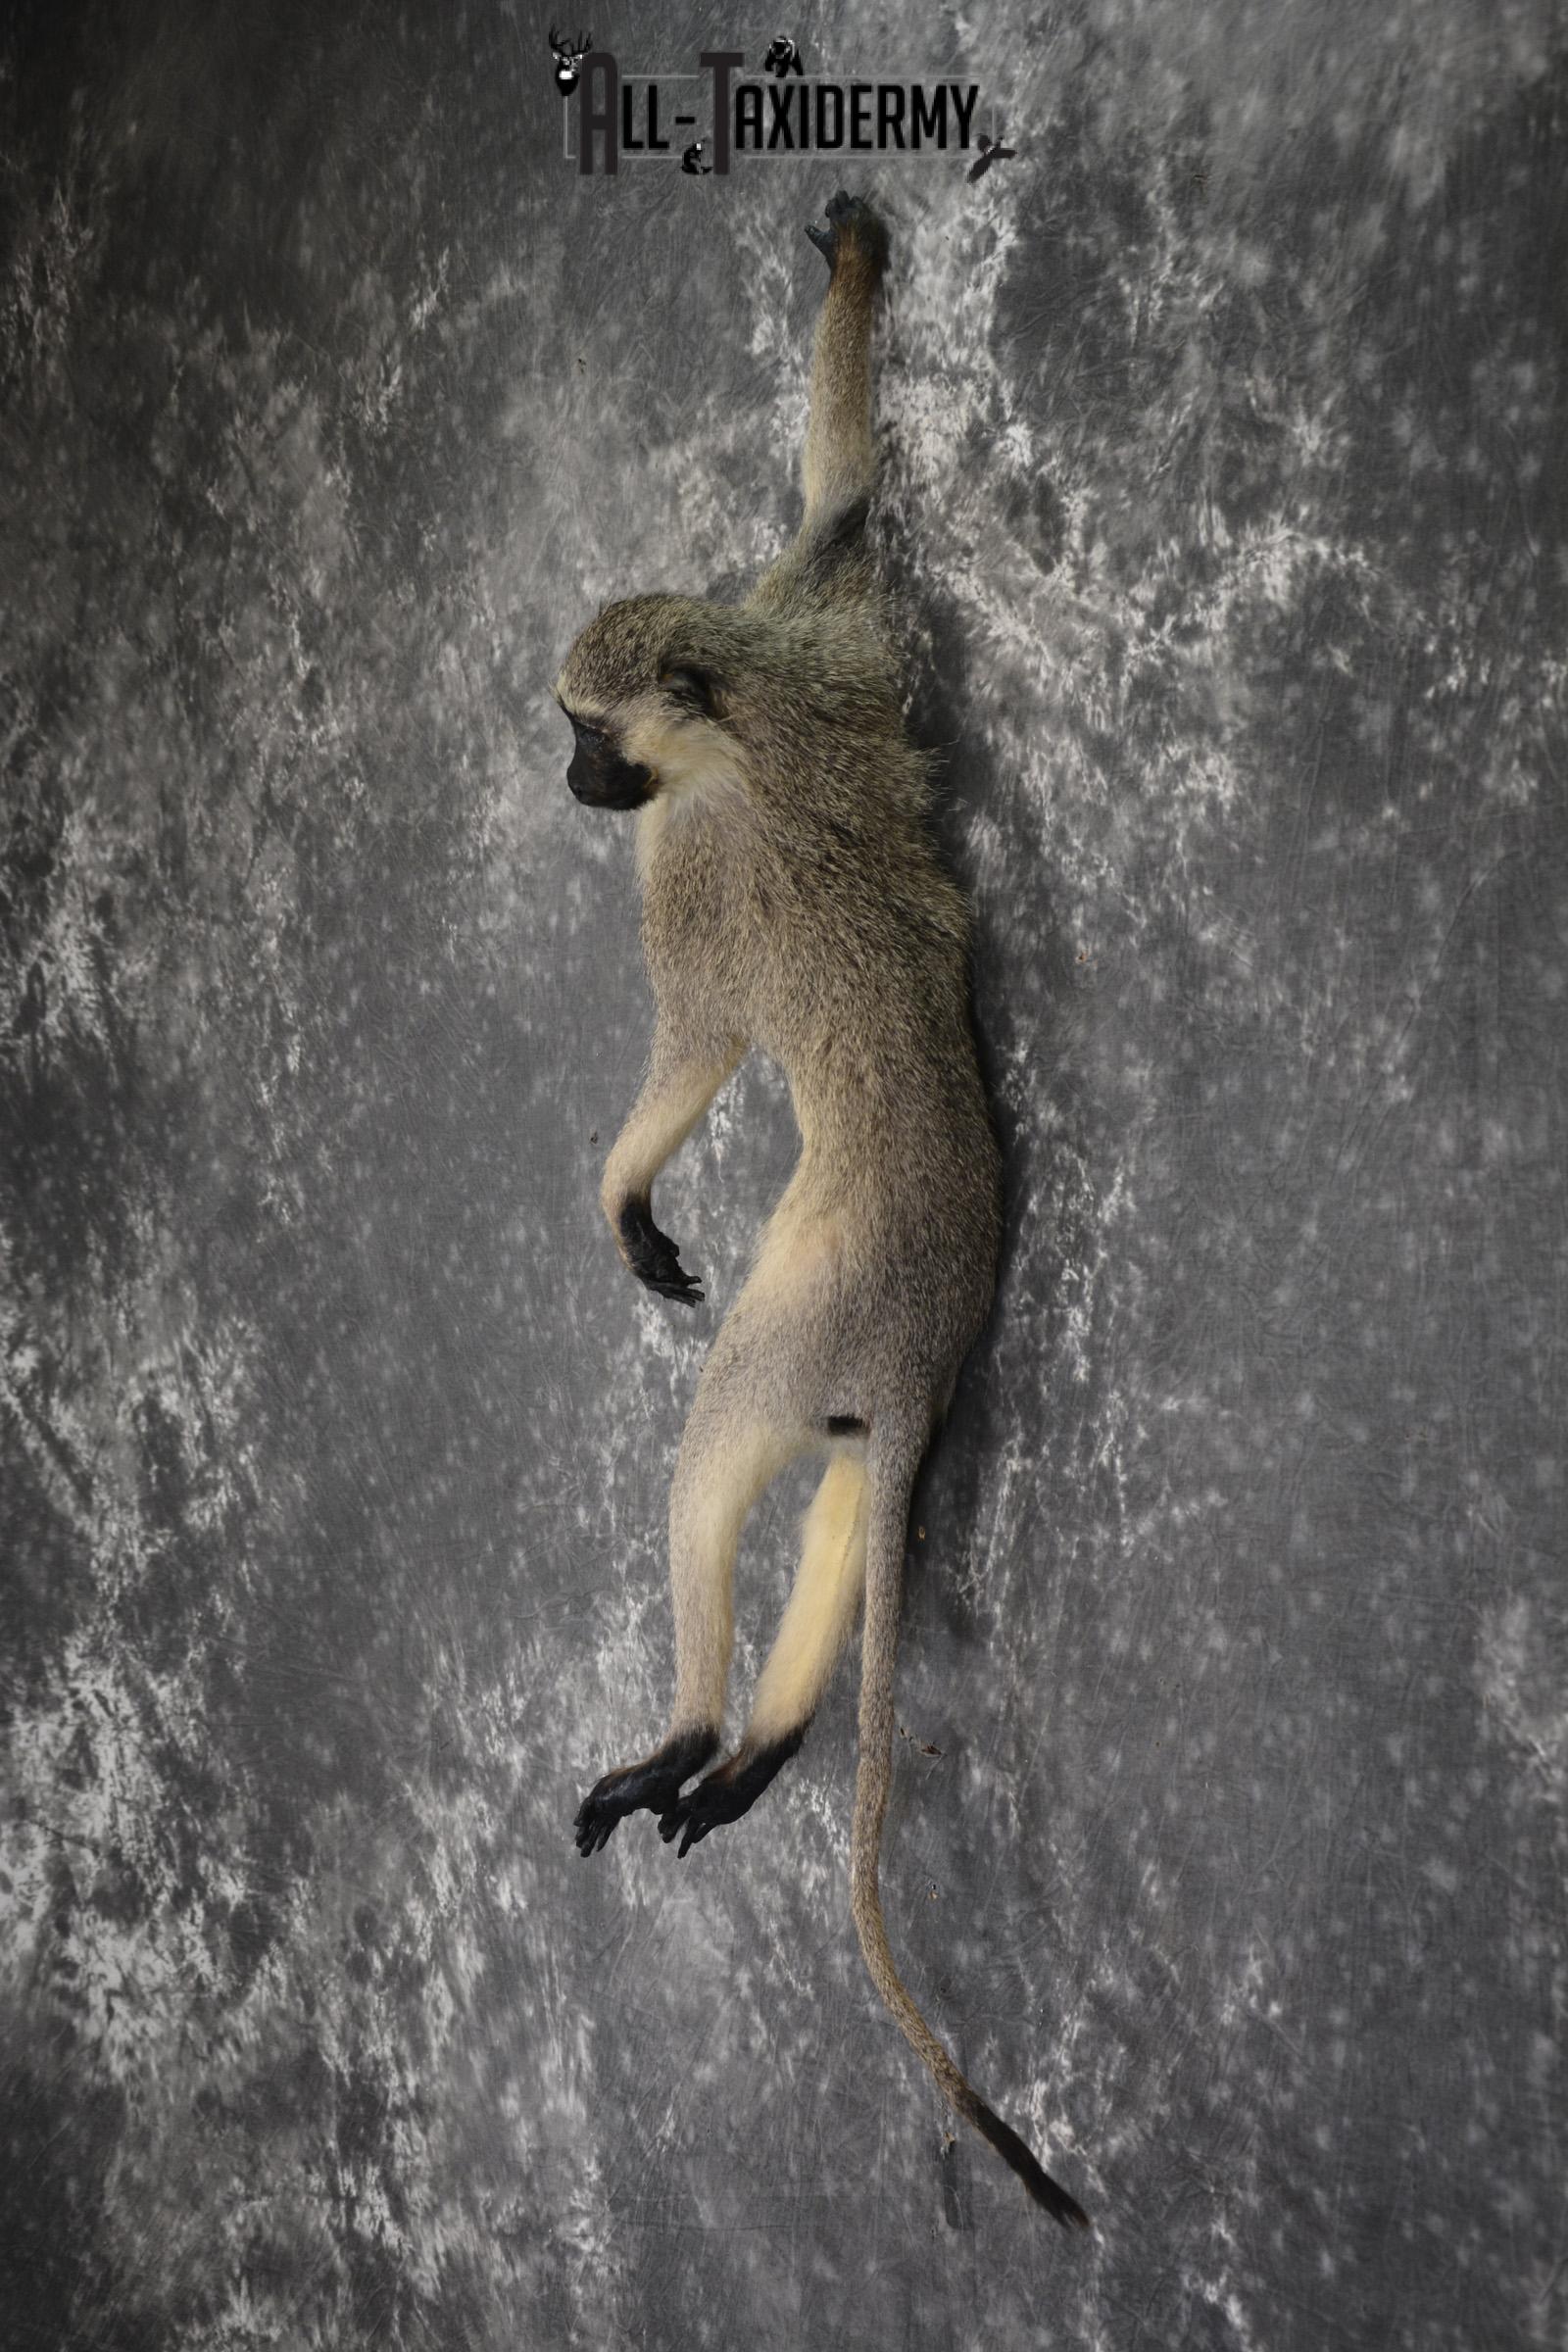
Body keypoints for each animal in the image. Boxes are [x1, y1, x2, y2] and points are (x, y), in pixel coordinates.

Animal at [554, 190, 1089, 2232]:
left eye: (587, 736)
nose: (569, 779)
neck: (743, 720)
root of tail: (926, 1301)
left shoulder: (688, 863)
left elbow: (696, 1048)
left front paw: (623, 1184)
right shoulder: (809, 623)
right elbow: (845, 505)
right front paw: (853, 281)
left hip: (818, 1317)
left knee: (729, 1443)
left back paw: (703, 1726)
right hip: (884, 1352)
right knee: (862, 1486)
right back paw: (771, 1740)